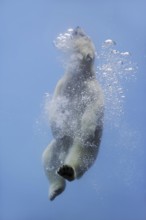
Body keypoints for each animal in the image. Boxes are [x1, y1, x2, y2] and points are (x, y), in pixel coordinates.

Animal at [42, 26, 104, 200]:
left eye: (83, 35)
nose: (76, 28)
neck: (79, 77)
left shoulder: (92, 89)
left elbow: (94, 107)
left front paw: (87, 127)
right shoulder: (63, 85)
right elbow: (56, 105)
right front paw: (57, 128)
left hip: (88, 144)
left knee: (81, 156)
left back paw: (68, 170)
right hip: (57, 146)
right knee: (48, 160)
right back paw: (55, 188)